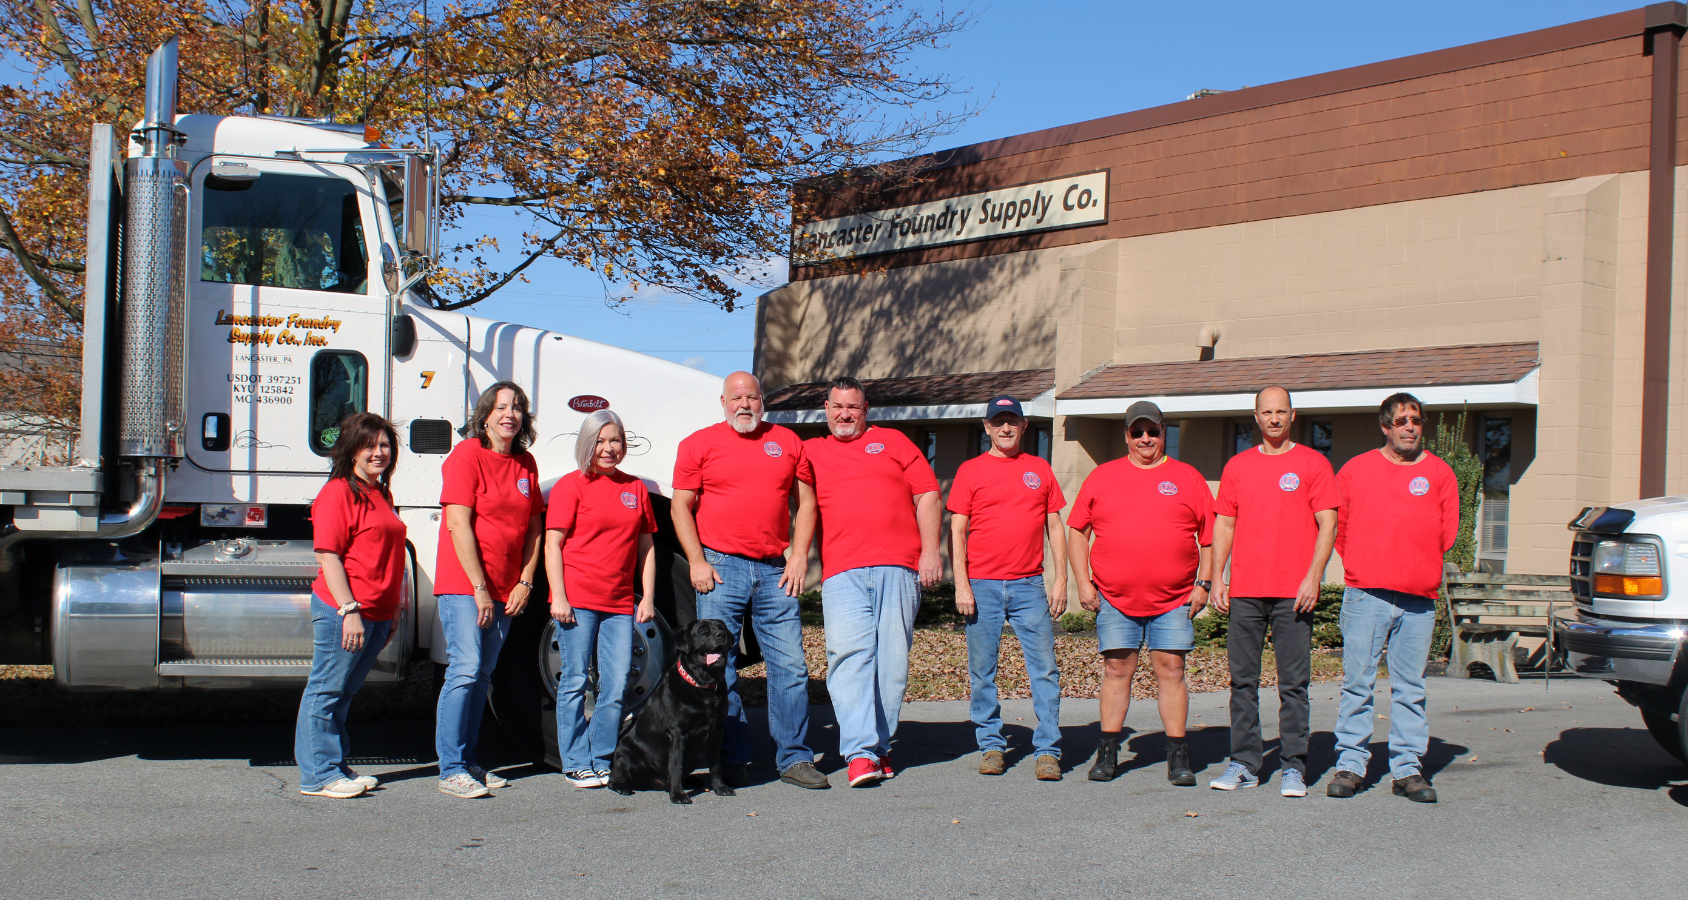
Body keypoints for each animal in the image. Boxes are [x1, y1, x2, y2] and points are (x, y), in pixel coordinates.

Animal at [611, 618, 735, 800]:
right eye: (703, 631)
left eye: (722, 628)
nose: (721, 635)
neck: (704, 687)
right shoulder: (678, 734)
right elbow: (676, 765)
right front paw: (677, 795)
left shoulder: (717, 732)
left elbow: (715, 765)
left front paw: (720, 787)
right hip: (626, 754)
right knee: (614, 777)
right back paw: (622, 786)